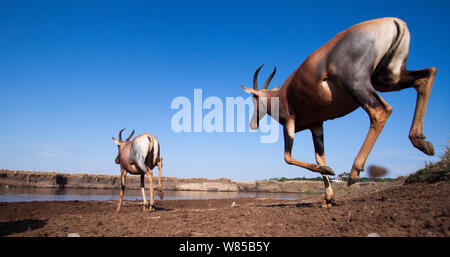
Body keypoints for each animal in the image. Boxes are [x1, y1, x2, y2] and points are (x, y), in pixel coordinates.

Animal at [243, 17, 436, 206]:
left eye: (254, 98)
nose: (253, 124)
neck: (283, 93)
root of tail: (395, 22)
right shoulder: (316, 125)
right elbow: (320, 157)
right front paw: (328, 198)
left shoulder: (289, 122)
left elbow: (287, 157)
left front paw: (329, 172)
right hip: (388, 78)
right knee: (426, 76)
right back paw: (421, 142)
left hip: (357, 83)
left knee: (380, 111)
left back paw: (354, 172)